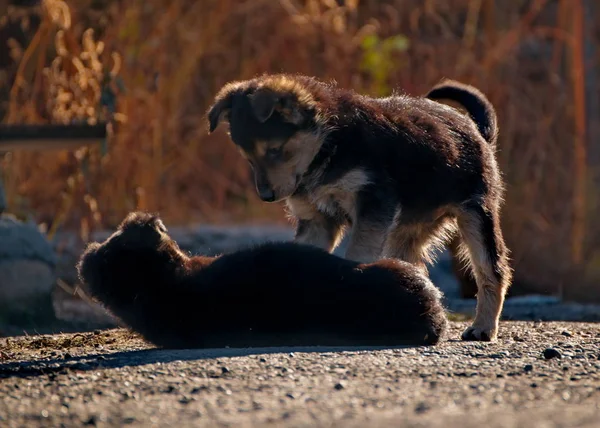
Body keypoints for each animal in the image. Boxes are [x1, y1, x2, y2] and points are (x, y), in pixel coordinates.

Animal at [207, 73, 510, 342]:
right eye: (248, 158)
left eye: (275, 151)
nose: (267, 197)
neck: (328, 145)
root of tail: (477, 130)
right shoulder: (317, 220)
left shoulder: (372, 204)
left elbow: (357, 254)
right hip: (407, 231)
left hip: (476, 214)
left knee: (492, 271)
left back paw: (483, 328)